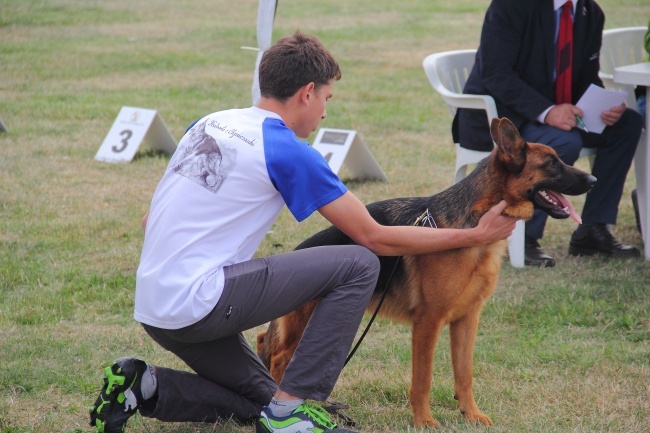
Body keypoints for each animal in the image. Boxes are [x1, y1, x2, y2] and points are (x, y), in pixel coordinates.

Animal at [256, 117, 596, 426]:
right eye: (552, 164)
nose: (593, 180)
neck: (474, 224)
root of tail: (298, 250)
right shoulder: (428, 322)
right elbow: (423, 379)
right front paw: (423, 422)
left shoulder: (467, 319)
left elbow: (464, 374)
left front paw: (470, 414)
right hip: (306, 325)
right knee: (278, 358)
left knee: (266, 344)